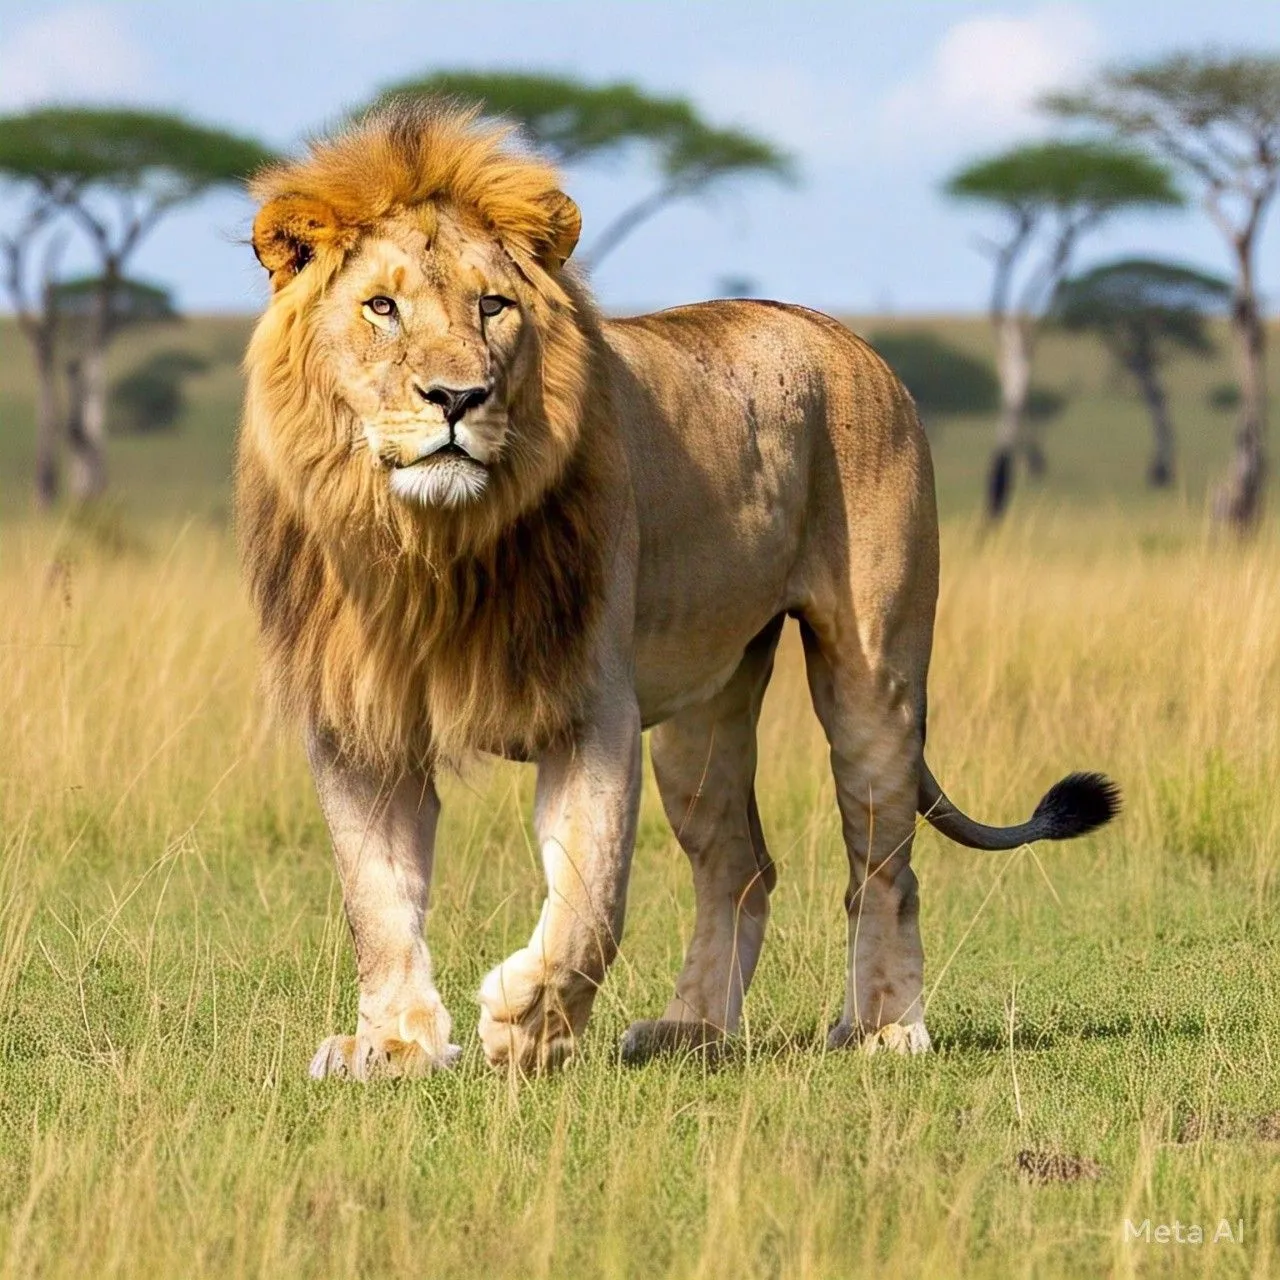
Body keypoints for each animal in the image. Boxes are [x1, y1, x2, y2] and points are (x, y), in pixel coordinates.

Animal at [236, 101, 1119, 1079]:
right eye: (381, 307)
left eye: (493, 305)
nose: (457, 398)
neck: (430, 547)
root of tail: (844, 333)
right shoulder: (359, 721)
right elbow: (377, 899)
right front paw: (393, 1044)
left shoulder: (593, 706)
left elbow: (592, 894)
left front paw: (527, 1024)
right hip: (706, 713)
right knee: (740, 866)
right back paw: (692, 1029)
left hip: (873, 674)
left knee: (884, 865)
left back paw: (884, 1026)